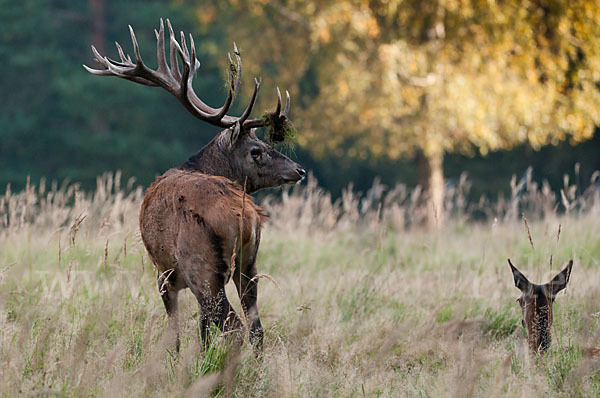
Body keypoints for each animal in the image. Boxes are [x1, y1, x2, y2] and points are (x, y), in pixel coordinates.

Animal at [85, 18, 304, 350]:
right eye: (257, 150)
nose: (299, 170)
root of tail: (247, 217)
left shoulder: (164, 273)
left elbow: (175, 330)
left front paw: (174, 360)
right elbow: (202, 331)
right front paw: (201, 356)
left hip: (201, 266)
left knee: (233, 326)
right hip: (248, 264)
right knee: (255, 328)